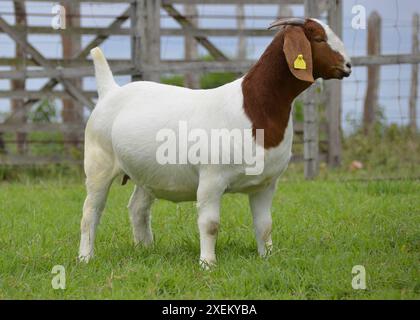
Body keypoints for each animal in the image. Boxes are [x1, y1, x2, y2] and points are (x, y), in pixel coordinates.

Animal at [79, 17, 352, 268]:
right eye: (318, 38)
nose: (348, 66)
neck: (254, 108)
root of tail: (111, 91)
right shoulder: (211, 180)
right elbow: (210, 224)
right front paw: (208, 264)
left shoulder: (266, 184)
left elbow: (265, 225)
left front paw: (267, 257)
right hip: (98, 163)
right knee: (91, 212)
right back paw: (85, 257)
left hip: (147, 173)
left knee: (138, 208)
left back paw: (145, 250)